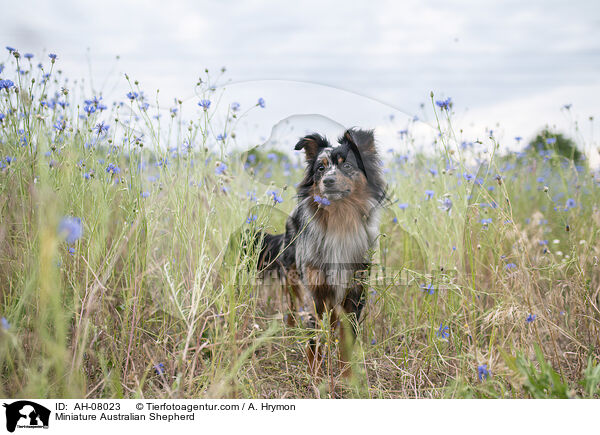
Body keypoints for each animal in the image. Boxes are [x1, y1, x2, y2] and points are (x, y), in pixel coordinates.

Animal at [256, 127, 386, 374]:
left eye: (347, 165)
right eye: (320, 168)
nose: (328, 180)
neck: (339, 222)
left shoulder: (355, 292)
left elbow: (347, 339)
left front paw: (346, 376)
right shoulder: (315, 290)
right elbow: (314, 338)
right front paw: (314, 373)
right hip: (292, 272)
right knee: (291, 302)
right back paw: (290, 329)